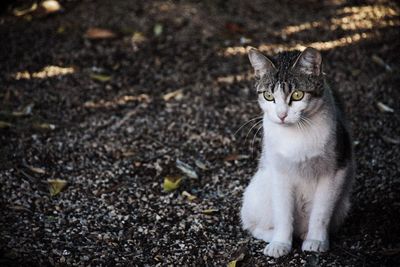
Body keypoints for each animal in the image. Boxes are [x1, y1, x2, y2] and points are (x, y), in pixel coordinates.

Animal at [239, 47, 354, 260]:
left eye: (298, 95)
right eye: (269, 96)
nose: (282, 115)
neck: (296, 135)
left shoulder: (337, 169)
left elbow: (321, 212)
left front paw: (316, 241)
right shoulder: (279, 172)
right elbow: (283, 213)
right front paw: (280, 243)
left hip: (342, 206)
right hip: (257, 193)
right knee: (252, 225)